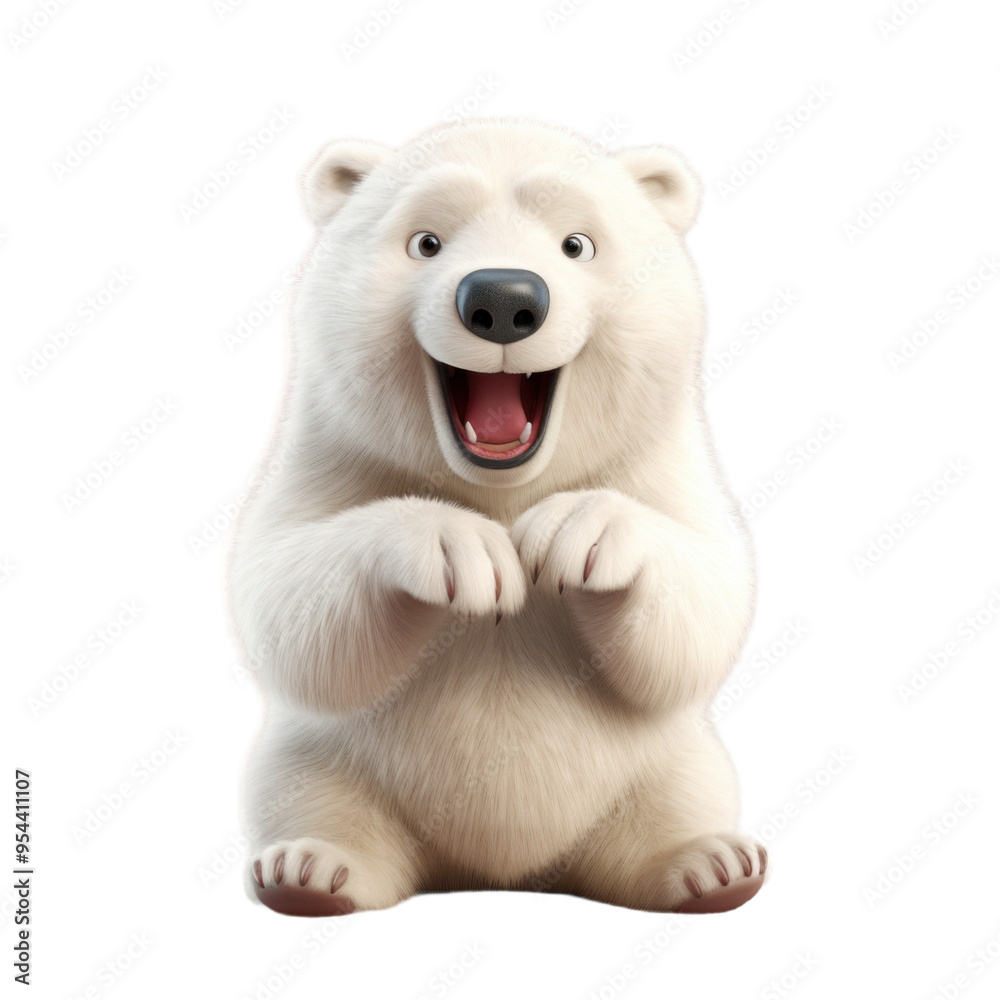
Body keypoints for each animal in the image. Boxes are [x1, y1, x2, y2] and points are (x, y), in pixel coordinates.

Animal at [228, 118, 764, 917]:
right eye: (426, 241)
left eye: (577, 243)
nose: (505, 299)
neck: (502, 487)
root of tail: (498, 874)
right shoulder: (332, 453)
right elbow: (282, 601)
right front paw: (466, 552)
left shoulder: (660, 463)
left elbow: (707, 605)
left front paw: (573, 535)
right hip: (331, 761)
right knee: (311, 794)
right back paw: (312, 871)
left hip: (664, 764)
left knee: (675, 802)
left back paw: (711, 867)